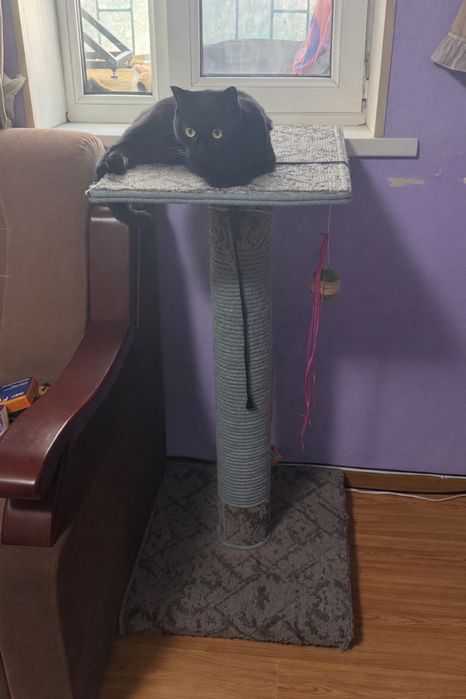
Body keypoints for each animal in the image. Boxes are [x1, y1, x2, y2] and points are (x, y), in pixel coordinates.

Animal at [96, 86, 276, 188]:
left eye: (217, 133)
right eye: (190, 131)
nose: (201, 147)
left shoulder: (265, 158)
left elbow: (246, 166)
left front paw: (230, 177)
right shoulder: (190, 157)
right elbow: (206, 168)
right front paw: (221, 179)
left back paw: (116, 164)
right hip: (143, 131)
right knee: (117, 146)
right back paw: (111, 163)